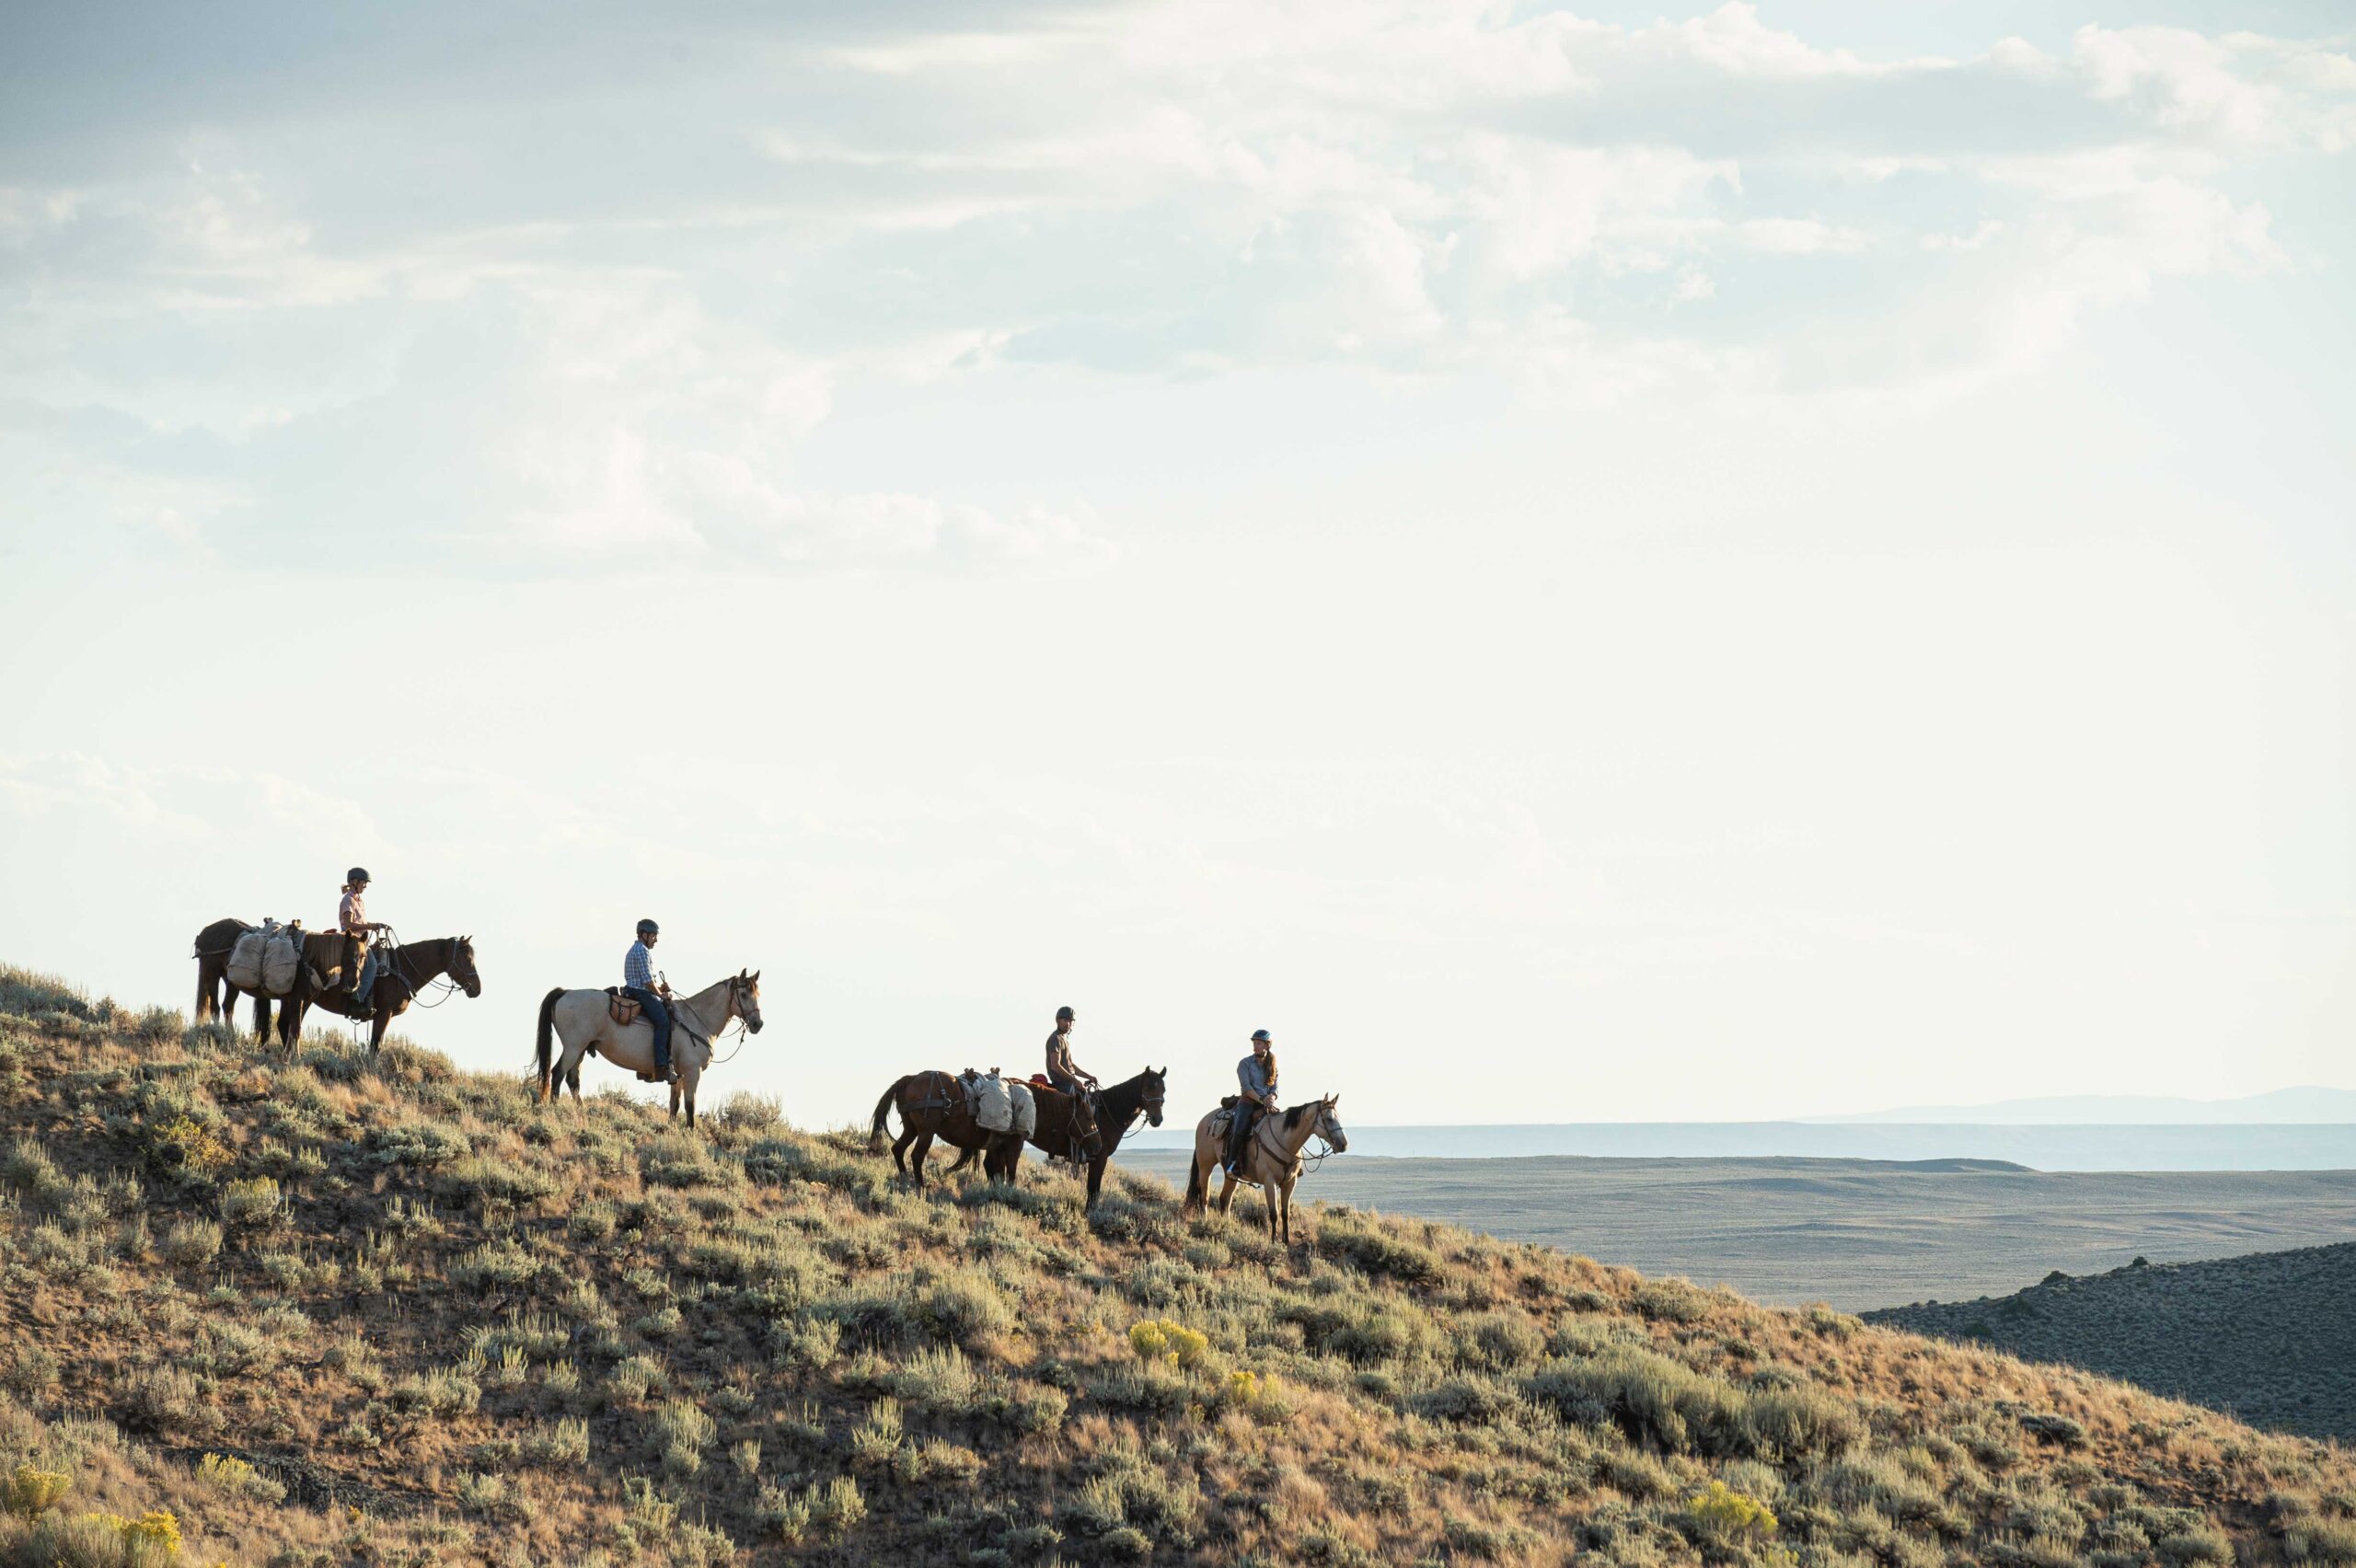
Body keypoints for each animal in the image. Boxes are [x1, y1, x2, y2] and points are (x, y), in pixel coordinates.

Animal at [190, 918, 360, 1041]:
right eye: (347, 953)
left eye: (363, 956)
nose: (353, 983)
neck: (309, 956)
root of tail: (204, 933)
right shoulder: (296, 998)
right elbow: (291, 1027)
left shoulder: (302, 999)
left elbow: (289, 1025)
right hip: (211, 973)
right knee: (215, 1008)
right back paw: (219, 1033)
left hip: (231, 982)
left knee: (227, 1007)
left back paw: (230, 1035)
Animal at [275, 936, 481, 1051]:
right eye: (467, 958)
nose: (477, 989)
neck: (402, 968)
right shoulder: (384, 1013)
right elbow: (376, 1044)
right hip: (301, 999)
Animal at [534, 970, 763, 1129]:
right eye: (743, 994)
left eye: (757, 994)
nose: (758, 1024)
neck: (696, 1020)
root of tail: (565, 993)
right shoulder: (692, 1071)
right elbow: (690, 1105)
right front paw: (691, 1131)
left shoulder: (678, 1074)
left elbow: (674, 1104)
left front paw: (672, 1130)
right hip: (573, 1047)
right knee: (557, 1073)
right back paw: (555, 1110)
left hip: (581, 1050)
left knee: (573, 1080)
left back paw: (582, 1112)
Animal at [1181, 1094, 1348, 1244]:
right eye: (1329, 1118)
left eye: (1339, 1117)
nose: (1344, 1144)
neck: (1284, 1140)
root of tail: (1204, 1121)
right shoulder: (1269, 1181)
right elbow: (1274, 1213)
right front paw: (1274, 1241)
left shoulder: (1290, 1182)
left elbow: (1285, 1213)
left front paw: (1286, 1241)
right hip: (1205, 1166)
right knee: (1205, 1197)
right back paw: (1205, 1222)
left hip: (1231, 1175)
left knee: (1225, 1199)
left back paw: (1227, 1227)